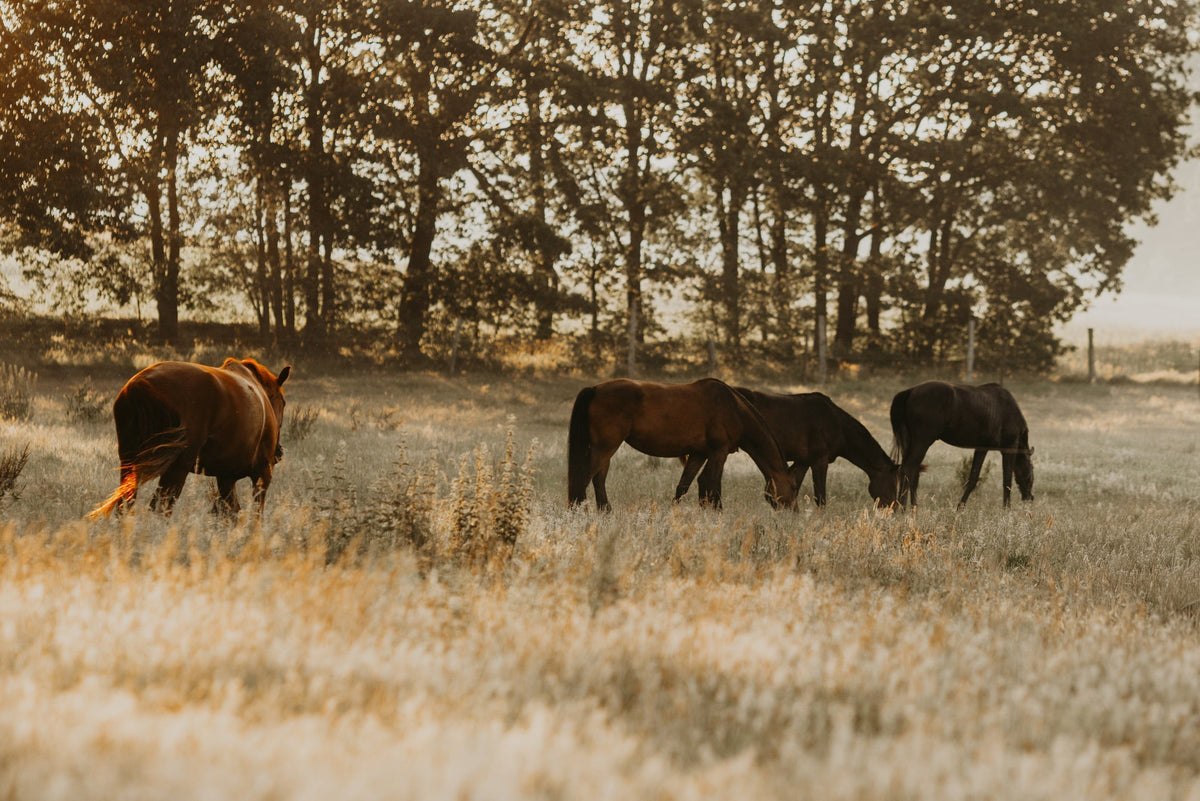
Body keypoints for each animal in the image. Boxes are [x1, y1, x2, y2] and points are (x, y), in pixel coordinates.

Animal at [89, 358, 291, 518]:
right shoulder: (262, 473)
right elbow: (256, 516)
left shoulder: (226, 478)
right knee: (161, 507)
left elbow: (231, 512)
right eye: (283, 402)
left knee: (126, 504)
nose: (279, 453)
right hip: (178, 466)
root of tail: (141, 384)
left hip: (129, 462)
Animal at [567, 377, 798, 511]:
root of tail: (595, 389)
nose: (793, 513)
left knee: (598, 479)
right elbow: (713, 484)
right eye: (794, 487)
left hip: (604, 450)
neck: (733, 408)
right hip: (606, 447)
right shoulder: (719, 452)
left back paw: (604, 511)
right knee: (585, 478)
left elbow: (684, 486)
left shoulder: (699, 453)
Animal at [726, 388, 900, 508]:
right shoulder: (819, 461)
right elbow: (820, 498)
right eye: (893, 484)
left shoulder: (803, 461)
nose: (894, 508)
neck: (836, 423)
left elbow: (792, 488)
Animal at [890, 380, 1033, 508]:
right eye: (1031, 472)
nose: (1029, 498)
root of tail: (910, 391)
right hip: (923, 441)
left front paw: (960, 507)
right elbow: (1007, 480)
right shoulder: (1009, 448)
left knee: (912, 471)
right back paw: (903, 507)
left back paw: (911, 507)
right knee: (909, 468)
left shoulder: (982, 448)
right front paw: (1007, 509)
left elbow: (973, 478)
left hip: (909, 442)